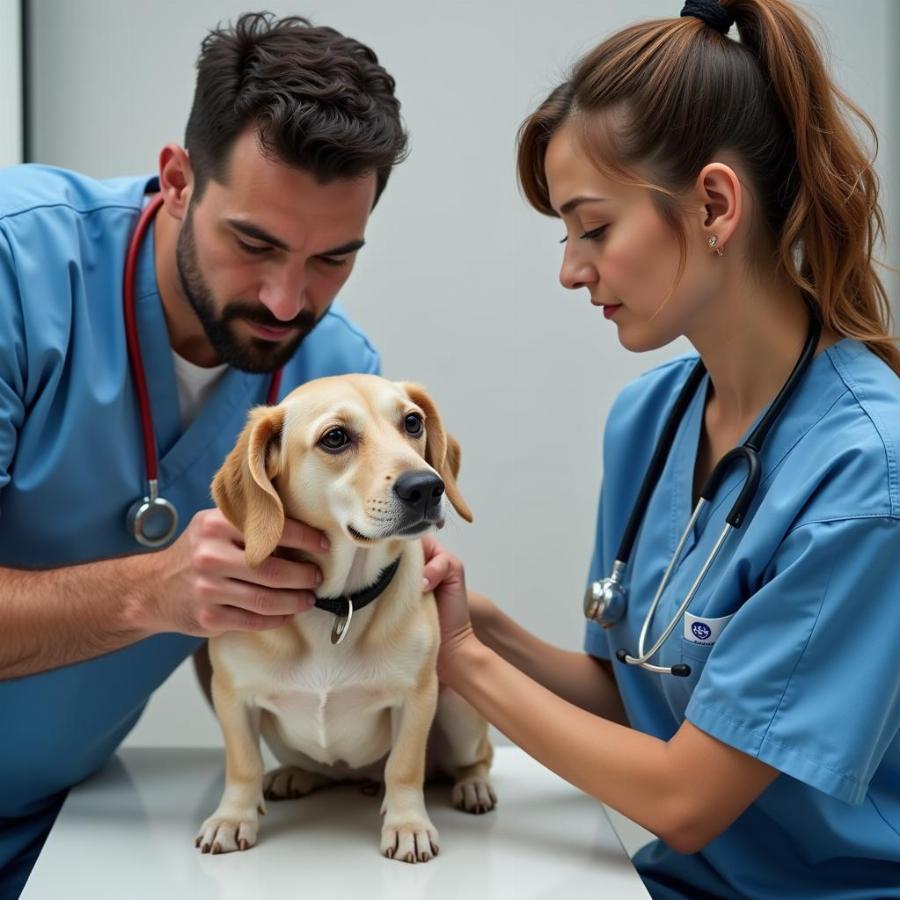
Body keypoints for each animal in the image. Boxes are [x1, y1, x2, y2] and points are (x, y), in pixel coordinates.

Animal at [193, 374, 496, 864]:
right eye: (335, 437)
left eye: (412, 422)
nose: (426, 487)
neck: (340, 603)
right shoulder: (233, 696)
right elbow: (243, 765)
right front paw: (232, 817)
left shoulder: (417, 697)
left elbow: (405, 767)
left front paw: (408, 825)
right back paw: (295, 774)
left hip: (459, 707)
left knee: (476, 757)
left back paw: (473, 786)